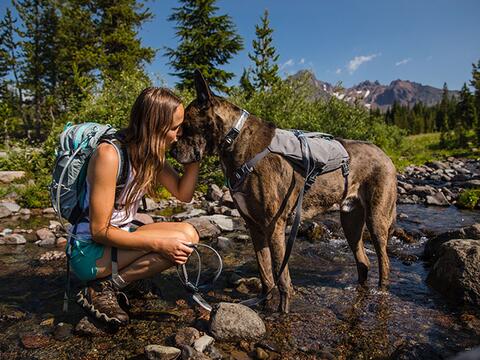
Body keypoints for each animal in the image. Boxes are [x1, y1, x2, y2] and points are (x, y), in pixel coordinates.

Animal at [172, 70, 398, 312]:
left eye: (184, 125)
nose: (171, 149)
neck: (235, 140)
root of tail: (385, 154)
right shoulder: (254, 225)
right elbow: (265, 271)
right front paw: (264, 302)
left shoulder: (274, 225)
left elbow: (282, 277)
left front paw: (283, 312)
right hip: (350, 220)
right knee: (363, 261)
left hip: (376, 219)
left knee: (384, 262)